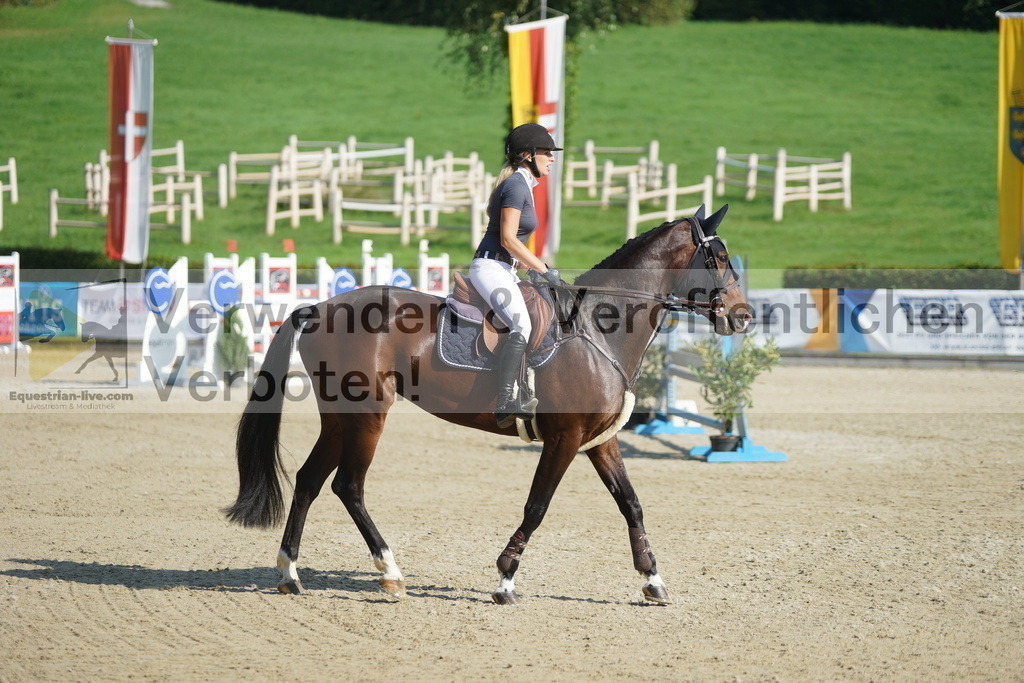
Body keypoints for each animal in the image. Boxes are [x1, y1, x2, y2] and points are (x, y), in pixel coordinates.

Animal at [226, 202, 753, 602]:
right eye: (719, 256)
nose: (744, 316)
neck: (599, 329)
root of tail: (319, 307)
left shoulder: (599, 440)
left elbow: (631, 504)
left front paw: (653, 579)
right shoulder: (564, 439)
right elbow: (537, 507)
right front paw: (505, 579)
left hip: (341, 416)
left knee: (310, 481)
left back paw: (289, 573)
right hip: (368, 415)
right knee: (348, 487)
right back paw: (390, 572)